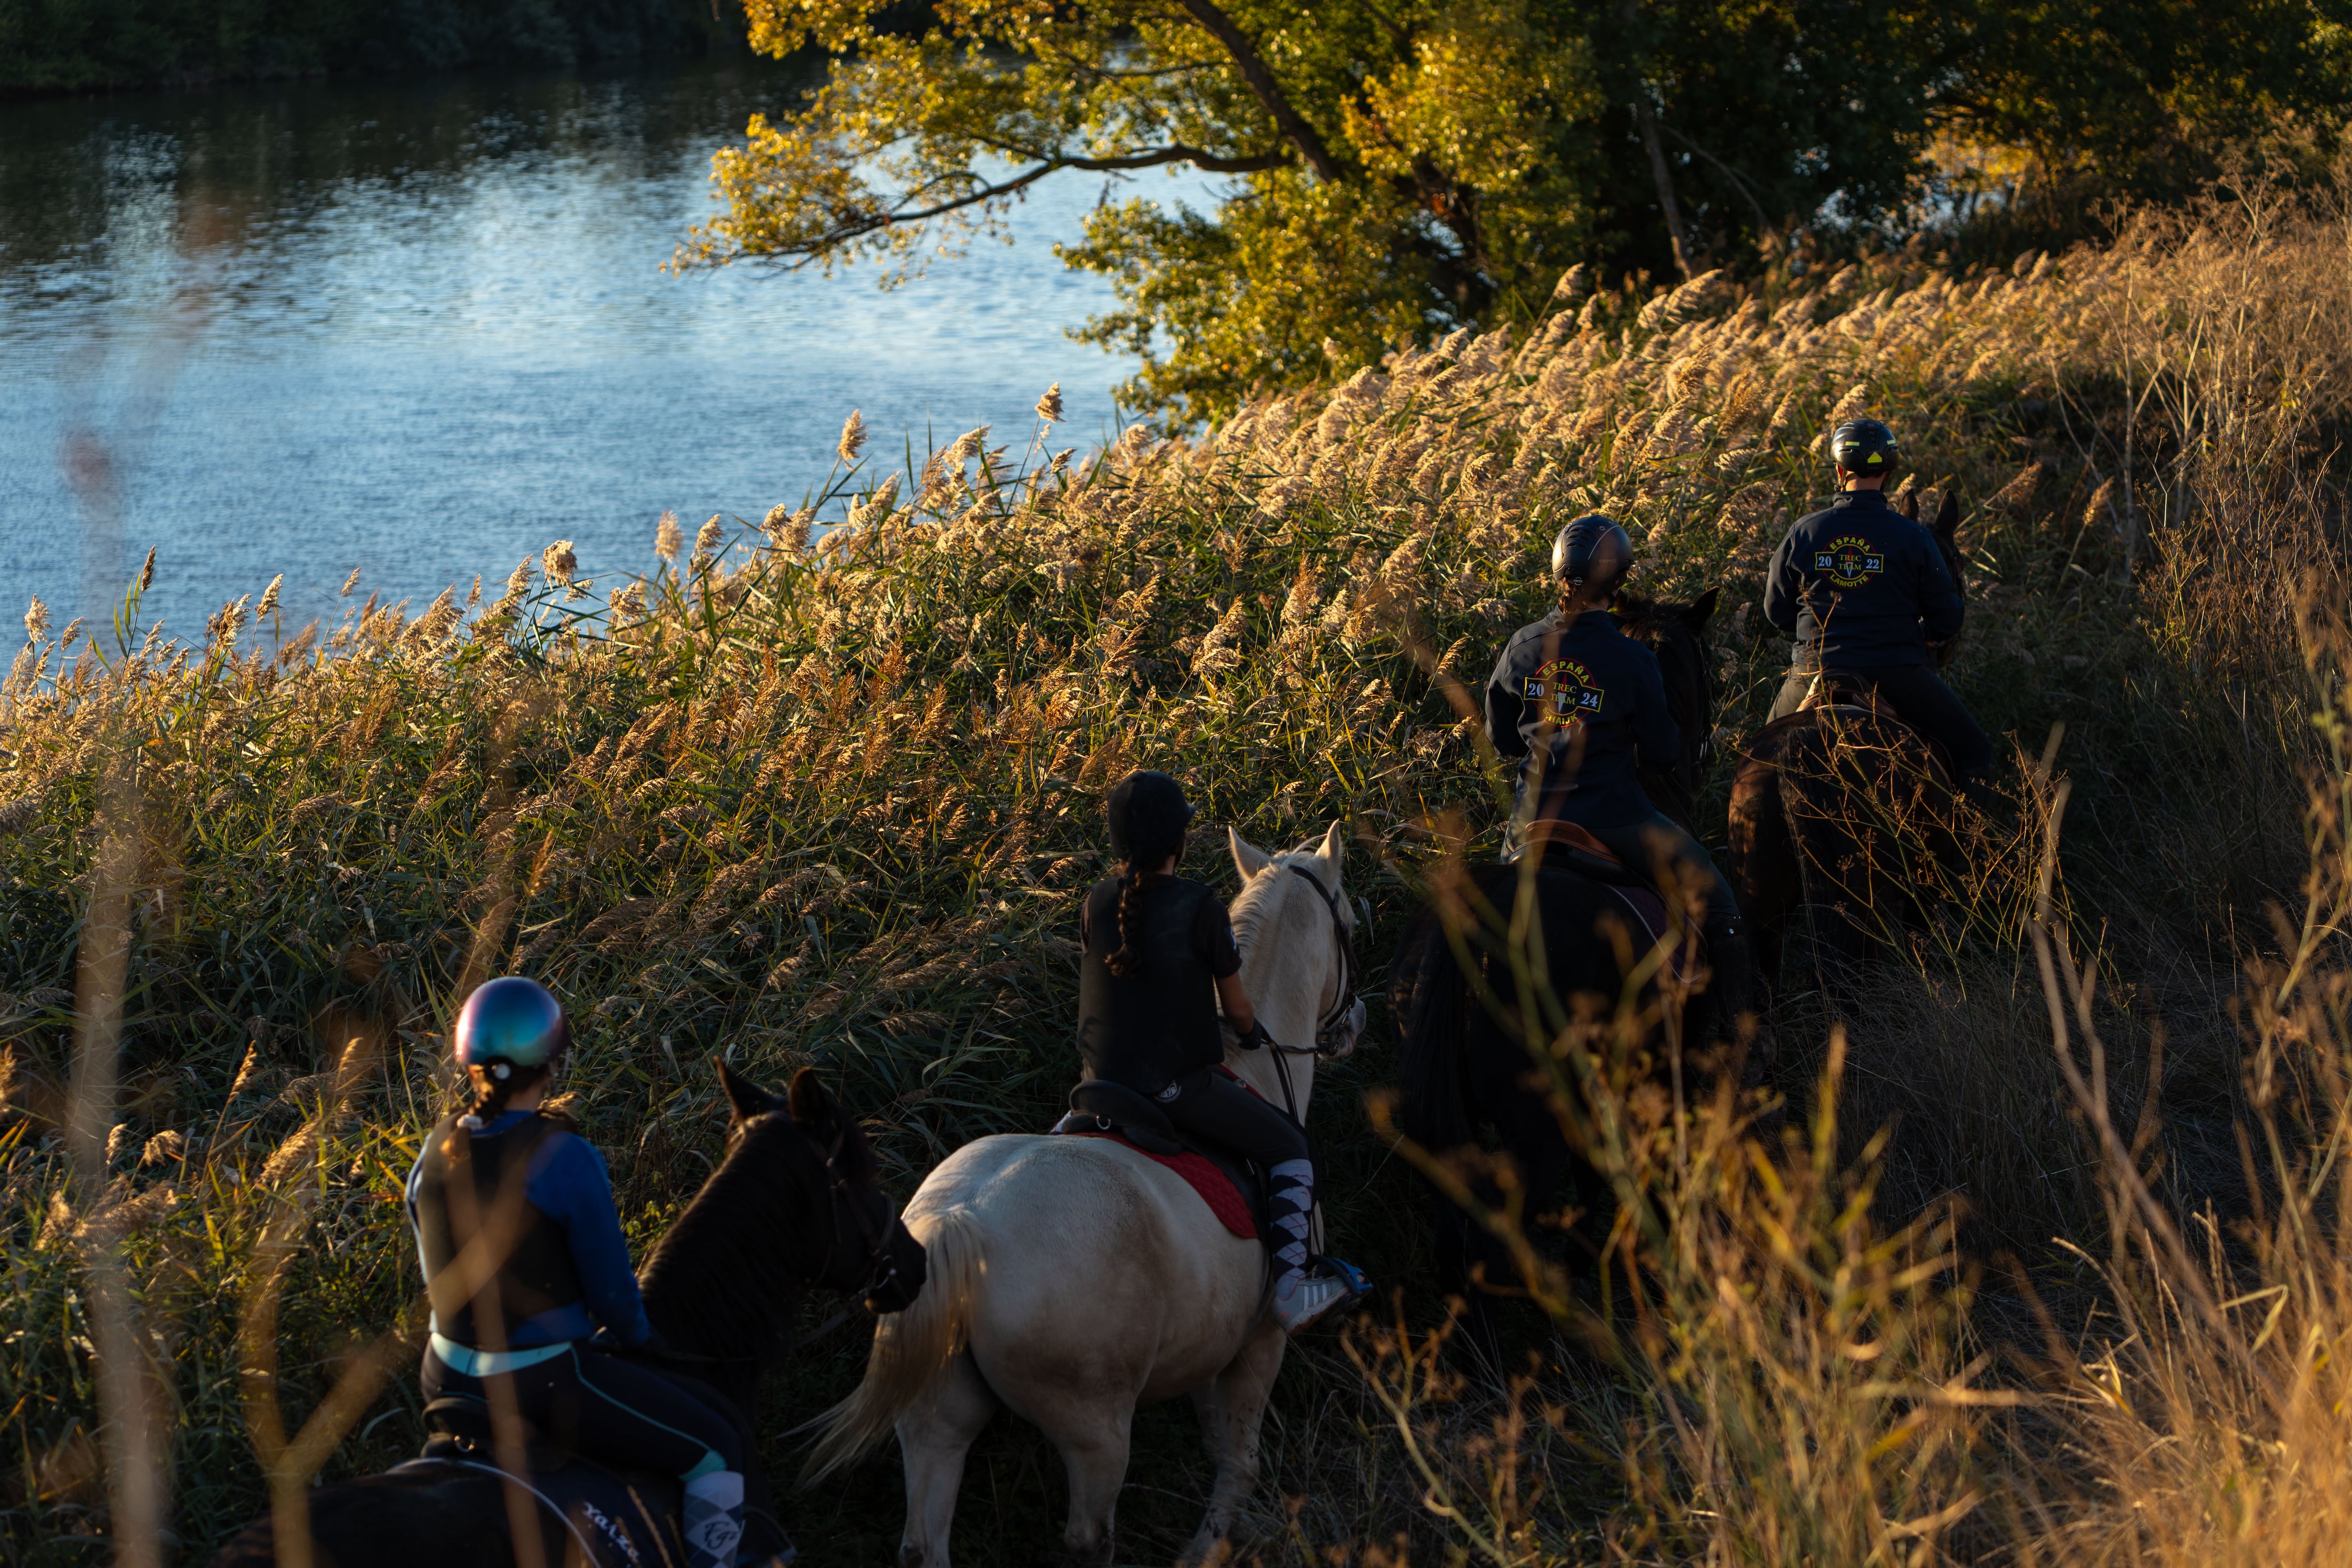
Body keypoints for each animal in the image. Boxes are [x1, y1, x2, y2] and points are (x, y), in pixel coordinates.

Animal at [798, 822, 1363, 1568]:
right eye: (1350, 926)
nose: (1353, 1022)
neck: (1253, 1070)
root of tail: (959, 1225)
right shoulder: (1260, 1341)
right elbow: (1236, 1462)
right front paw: (1209, 1548)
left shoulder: (1213, 1343)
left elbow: (1218, 1444)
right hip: (1093, 1423)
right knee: (1088, 1536)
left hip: (937, 1416)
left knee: (925, 1539)